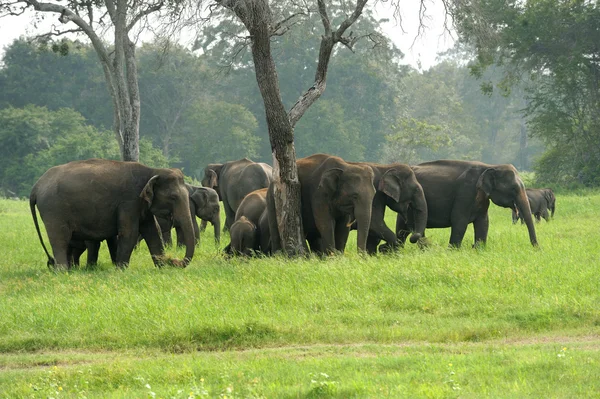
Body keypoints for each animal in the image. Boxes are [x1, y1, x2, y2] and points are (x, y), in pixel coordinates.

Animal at [29, 159, 195, 268]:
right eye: (173, 197)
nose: (173, 260)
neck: (152, 171)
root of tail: (36, 186)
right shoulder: (129, 202)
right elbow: (129, 233)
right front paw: (121, 270)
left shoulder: (142, 205)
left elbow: (152, 232)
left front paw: (161, 267)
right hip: (53, 210)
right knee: (60, 239)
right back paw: (63, 271)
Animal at [394, 161, 540, 248]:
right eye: (514, 189)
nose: (537, 248)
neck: (490, 166)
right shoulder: (465, 193)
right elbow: (459, 221)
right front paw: (453, 250)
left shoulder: (483, 198)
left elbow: (483, 222)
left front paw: (479, 249)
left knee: (402, 229)